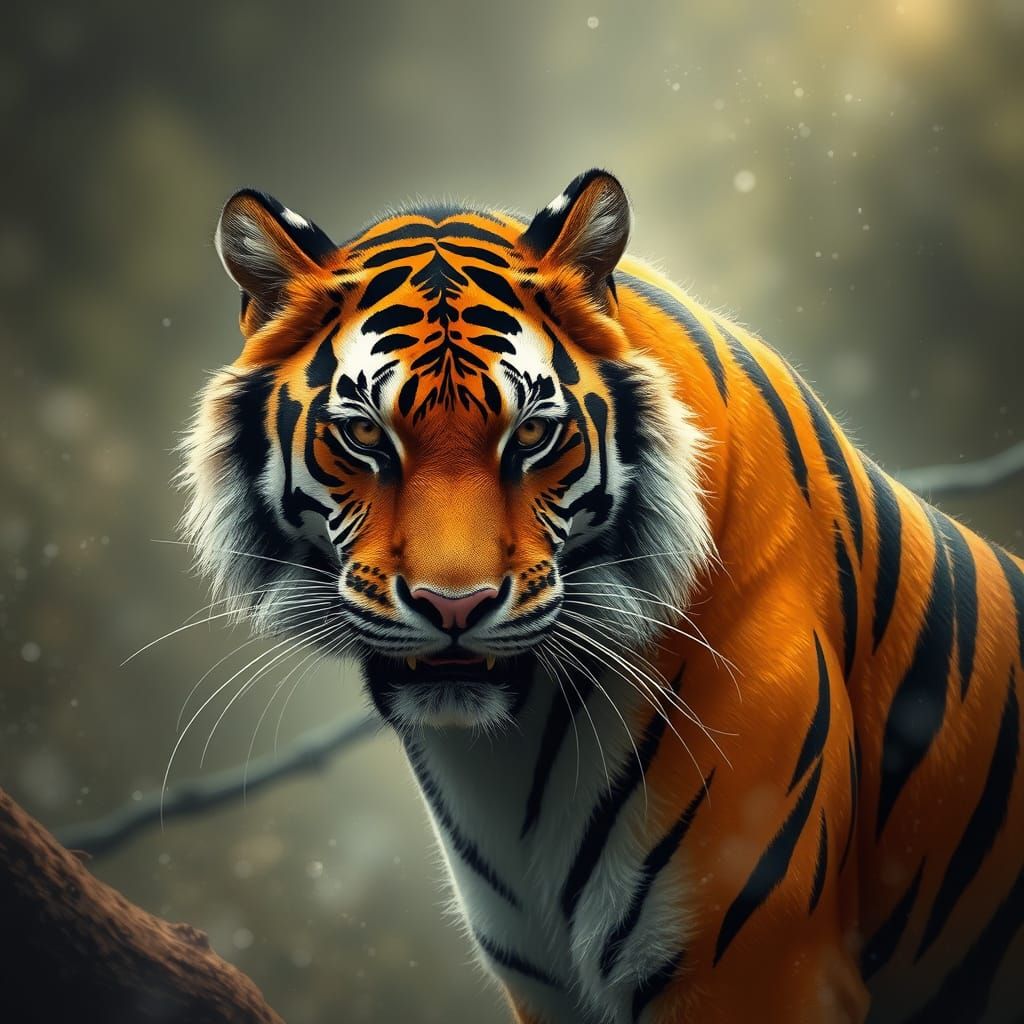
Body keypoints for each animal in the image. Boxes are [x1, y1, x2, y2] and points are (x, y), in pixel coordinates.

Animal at [181, 169, 1024, 1023]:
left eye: (530, 435)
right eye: (363, 436)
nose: (454, 607)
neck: (509, 759)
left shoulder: (760, 963)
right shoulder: (548, 986)